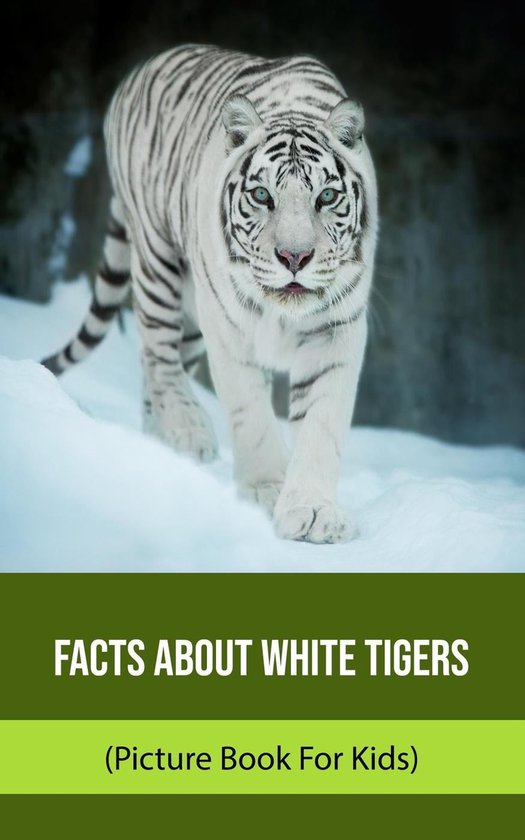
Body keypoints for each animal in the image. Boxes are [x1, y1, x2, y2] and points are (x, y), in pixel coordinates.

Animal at [43, 44, 378, 544]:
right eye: (262, 195)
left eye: (326, 197)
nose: (294, 256)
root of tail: (144, 65)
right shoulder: (227, 326)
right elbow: (251, 413)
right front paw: (267, 490)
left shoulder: (336, 330)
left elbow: (322, 424)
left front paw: (314, 511)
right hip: (159, 263)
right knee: (158, 355)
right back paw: (187, 432)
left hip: (190, 316)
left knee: (158, 365)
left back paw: (158, 442)